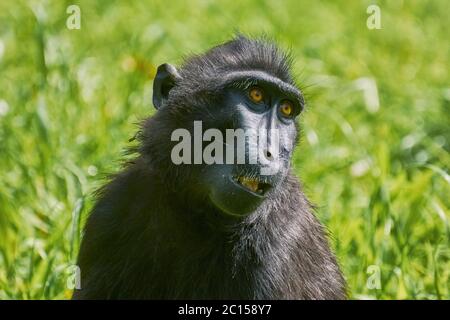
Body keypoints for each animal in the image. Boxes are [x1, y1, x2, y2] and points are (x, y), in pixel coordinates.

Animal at [73, 35, 348, 300]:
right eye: (256, 95)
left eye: (286, 110)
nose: (271, 151)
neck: (196, 213)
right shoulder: (111, 213)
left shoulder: (280, 243)